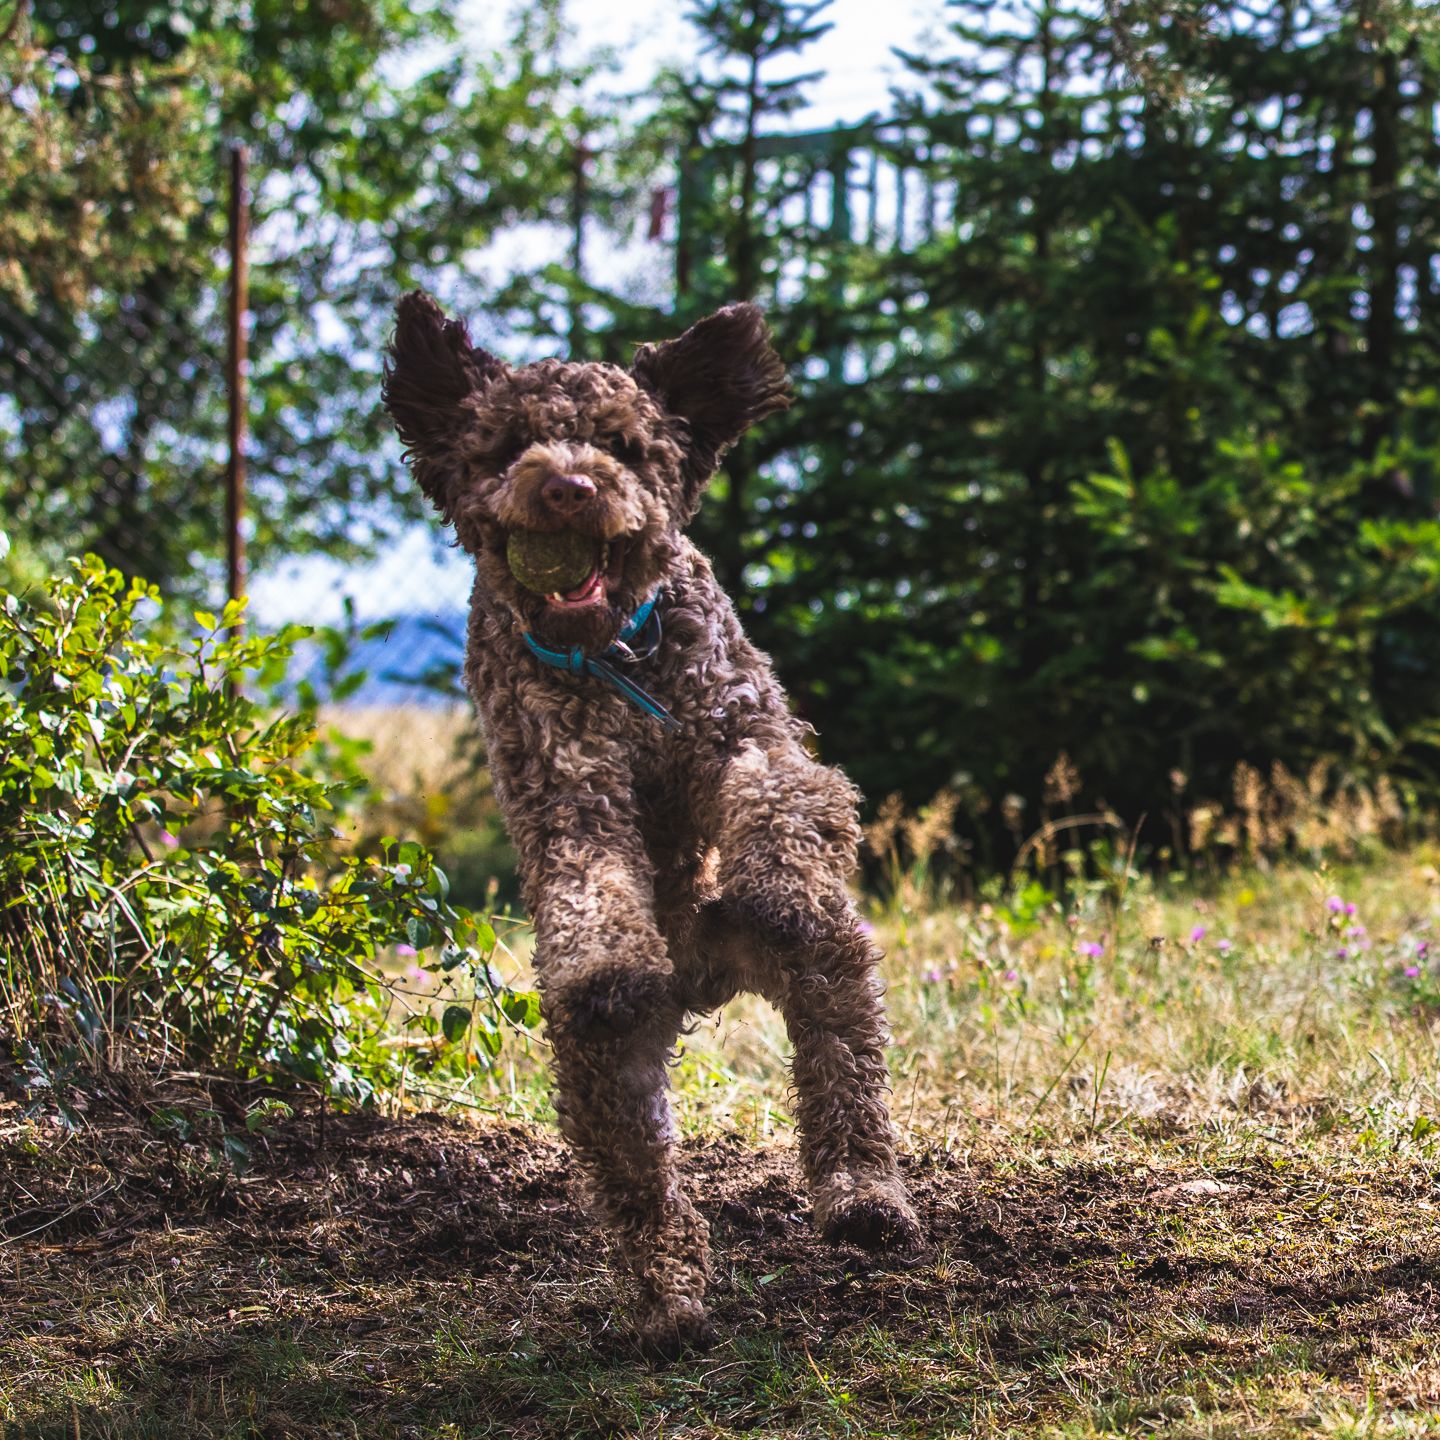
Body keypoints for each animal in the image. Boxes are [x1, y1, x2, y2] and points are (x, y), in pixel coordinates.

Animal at [383, 292, 921, 1347]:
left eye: (623, 445)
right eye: (506, 445)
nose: (569, 487)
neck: (618, 659)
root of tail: (701, 971)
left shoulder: (746, 731)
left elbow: (775, 799)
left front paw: (773, 875)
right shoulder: (564, 788)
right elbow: (588, 888)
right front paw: (609, 954)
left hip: (817, 972)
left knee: (840, 1043)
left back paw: (863, 1196)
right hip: (609, 1065)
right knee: (636, 1163)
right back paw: (668, 1291)